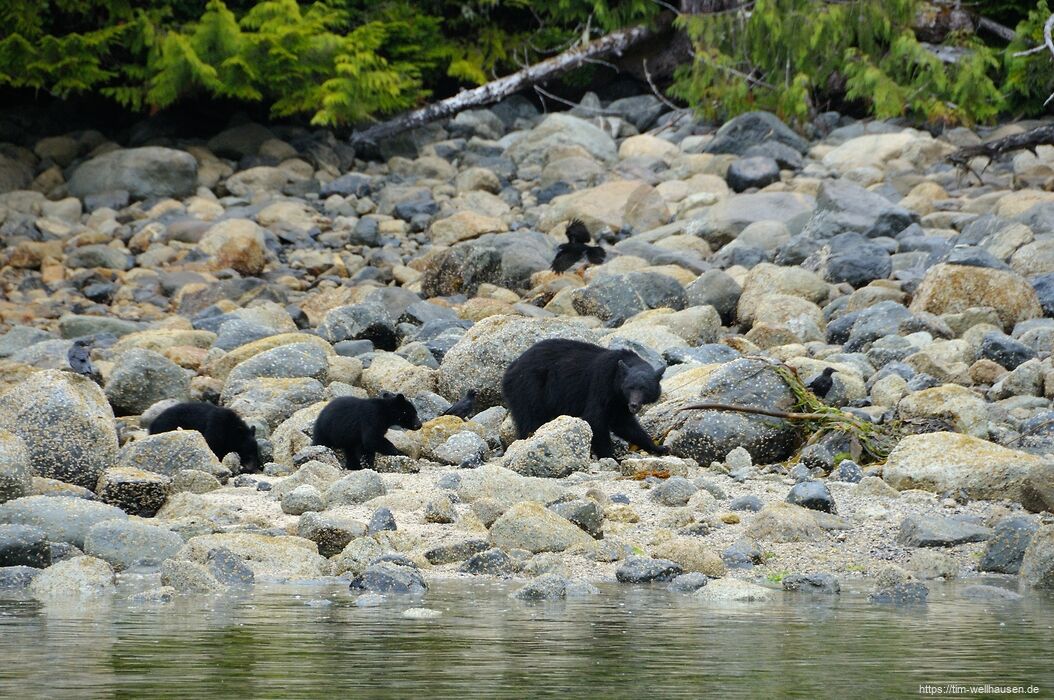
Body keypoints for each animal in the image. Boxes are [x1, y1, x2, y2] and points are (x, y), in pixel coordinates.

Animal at [501, 339, 666, 459]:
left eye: (644, 389)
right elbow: (595, 418)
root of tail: (510, 369)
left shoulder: (619, 402)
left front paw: (658, 447)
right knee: (530, 418)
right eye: (629, 387)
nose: (634, 405)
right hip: (528, 387)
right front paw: (611, 456)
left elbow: (624, 423)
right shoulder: (602, 383)